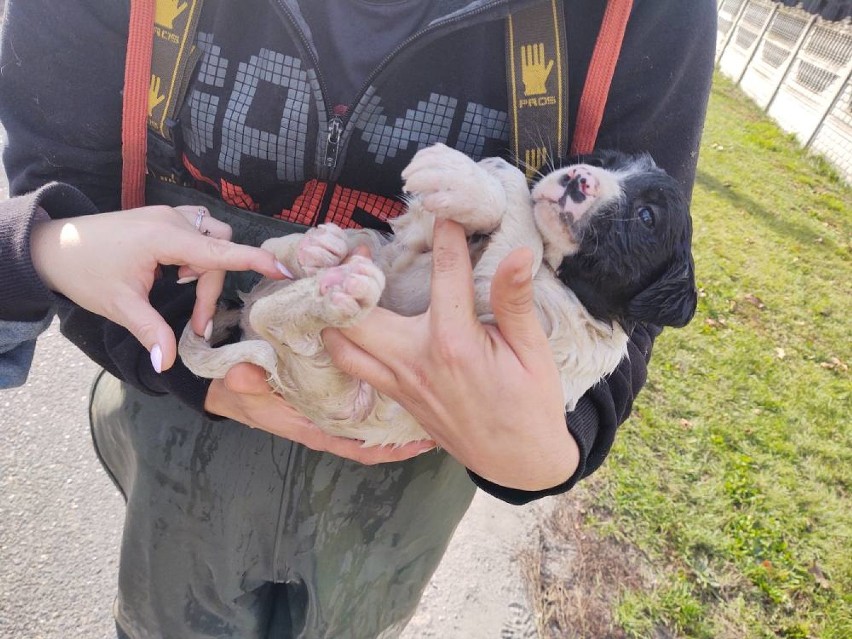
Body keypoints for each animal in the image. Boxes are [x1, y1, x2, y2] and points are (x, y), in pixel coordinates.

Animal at [180, 144, 692, 444]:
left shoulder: (512, 302)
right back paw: (319, 251)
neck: (558, 276)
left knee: (278, 321)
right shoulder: (416, 244)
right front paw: (471, 179)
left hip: (328, 389)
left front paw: (481, 175)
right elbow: (477, 217)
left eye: (646, 217)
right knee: (278, 255)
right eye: (604, 160)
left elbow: (520, 228)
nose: (576, 177)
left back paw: (337, 292)